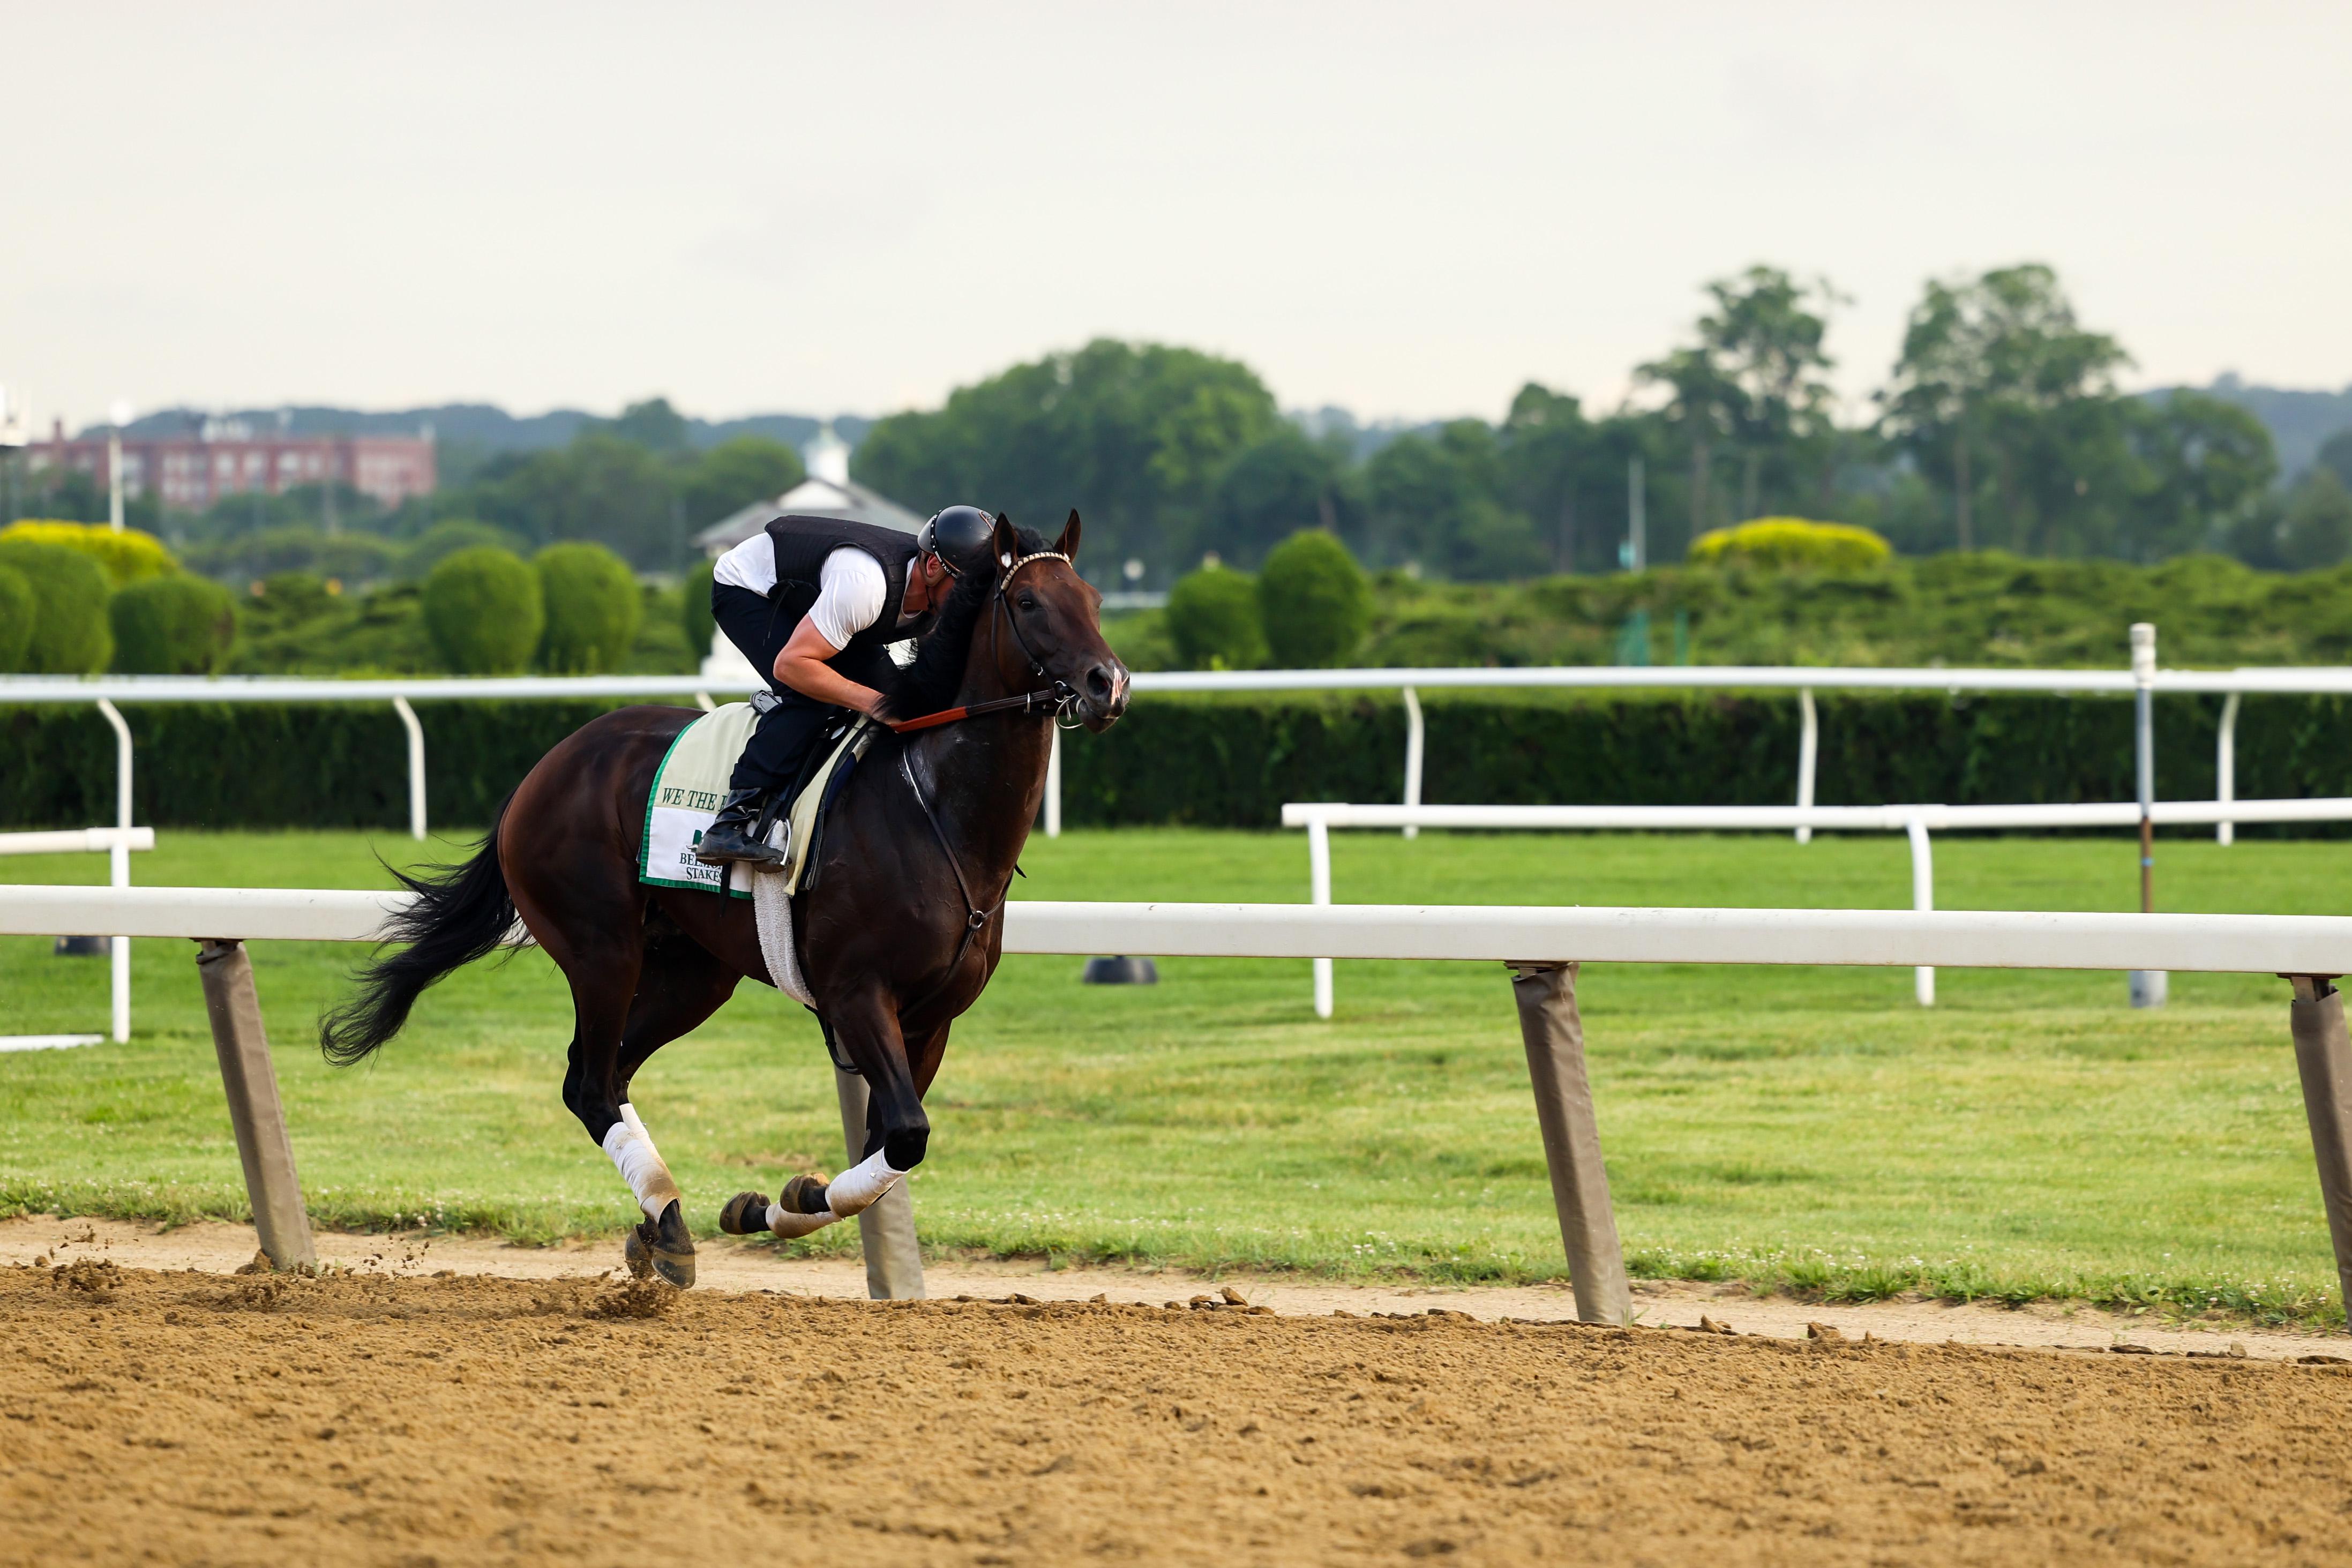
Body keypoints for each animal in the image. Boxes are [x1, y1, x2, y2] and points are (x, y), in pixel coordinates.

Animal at [320, 515, 1129, 1288]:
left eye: (1092, 599)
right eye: (1028, 602)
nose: (1109, 684)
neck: (935, 810)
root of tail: (543, 768)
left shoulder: (931, 1019)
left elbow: (887, 1148)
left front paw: (778, 1201)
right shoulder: (855, 991)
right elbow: (905, 1133)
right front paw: (777, 1203)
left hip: (692, 972)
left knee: (607, 1073)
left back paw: (656, 1226)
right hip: (601, 947)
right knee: (590, 1081)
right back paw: (669, 1224)